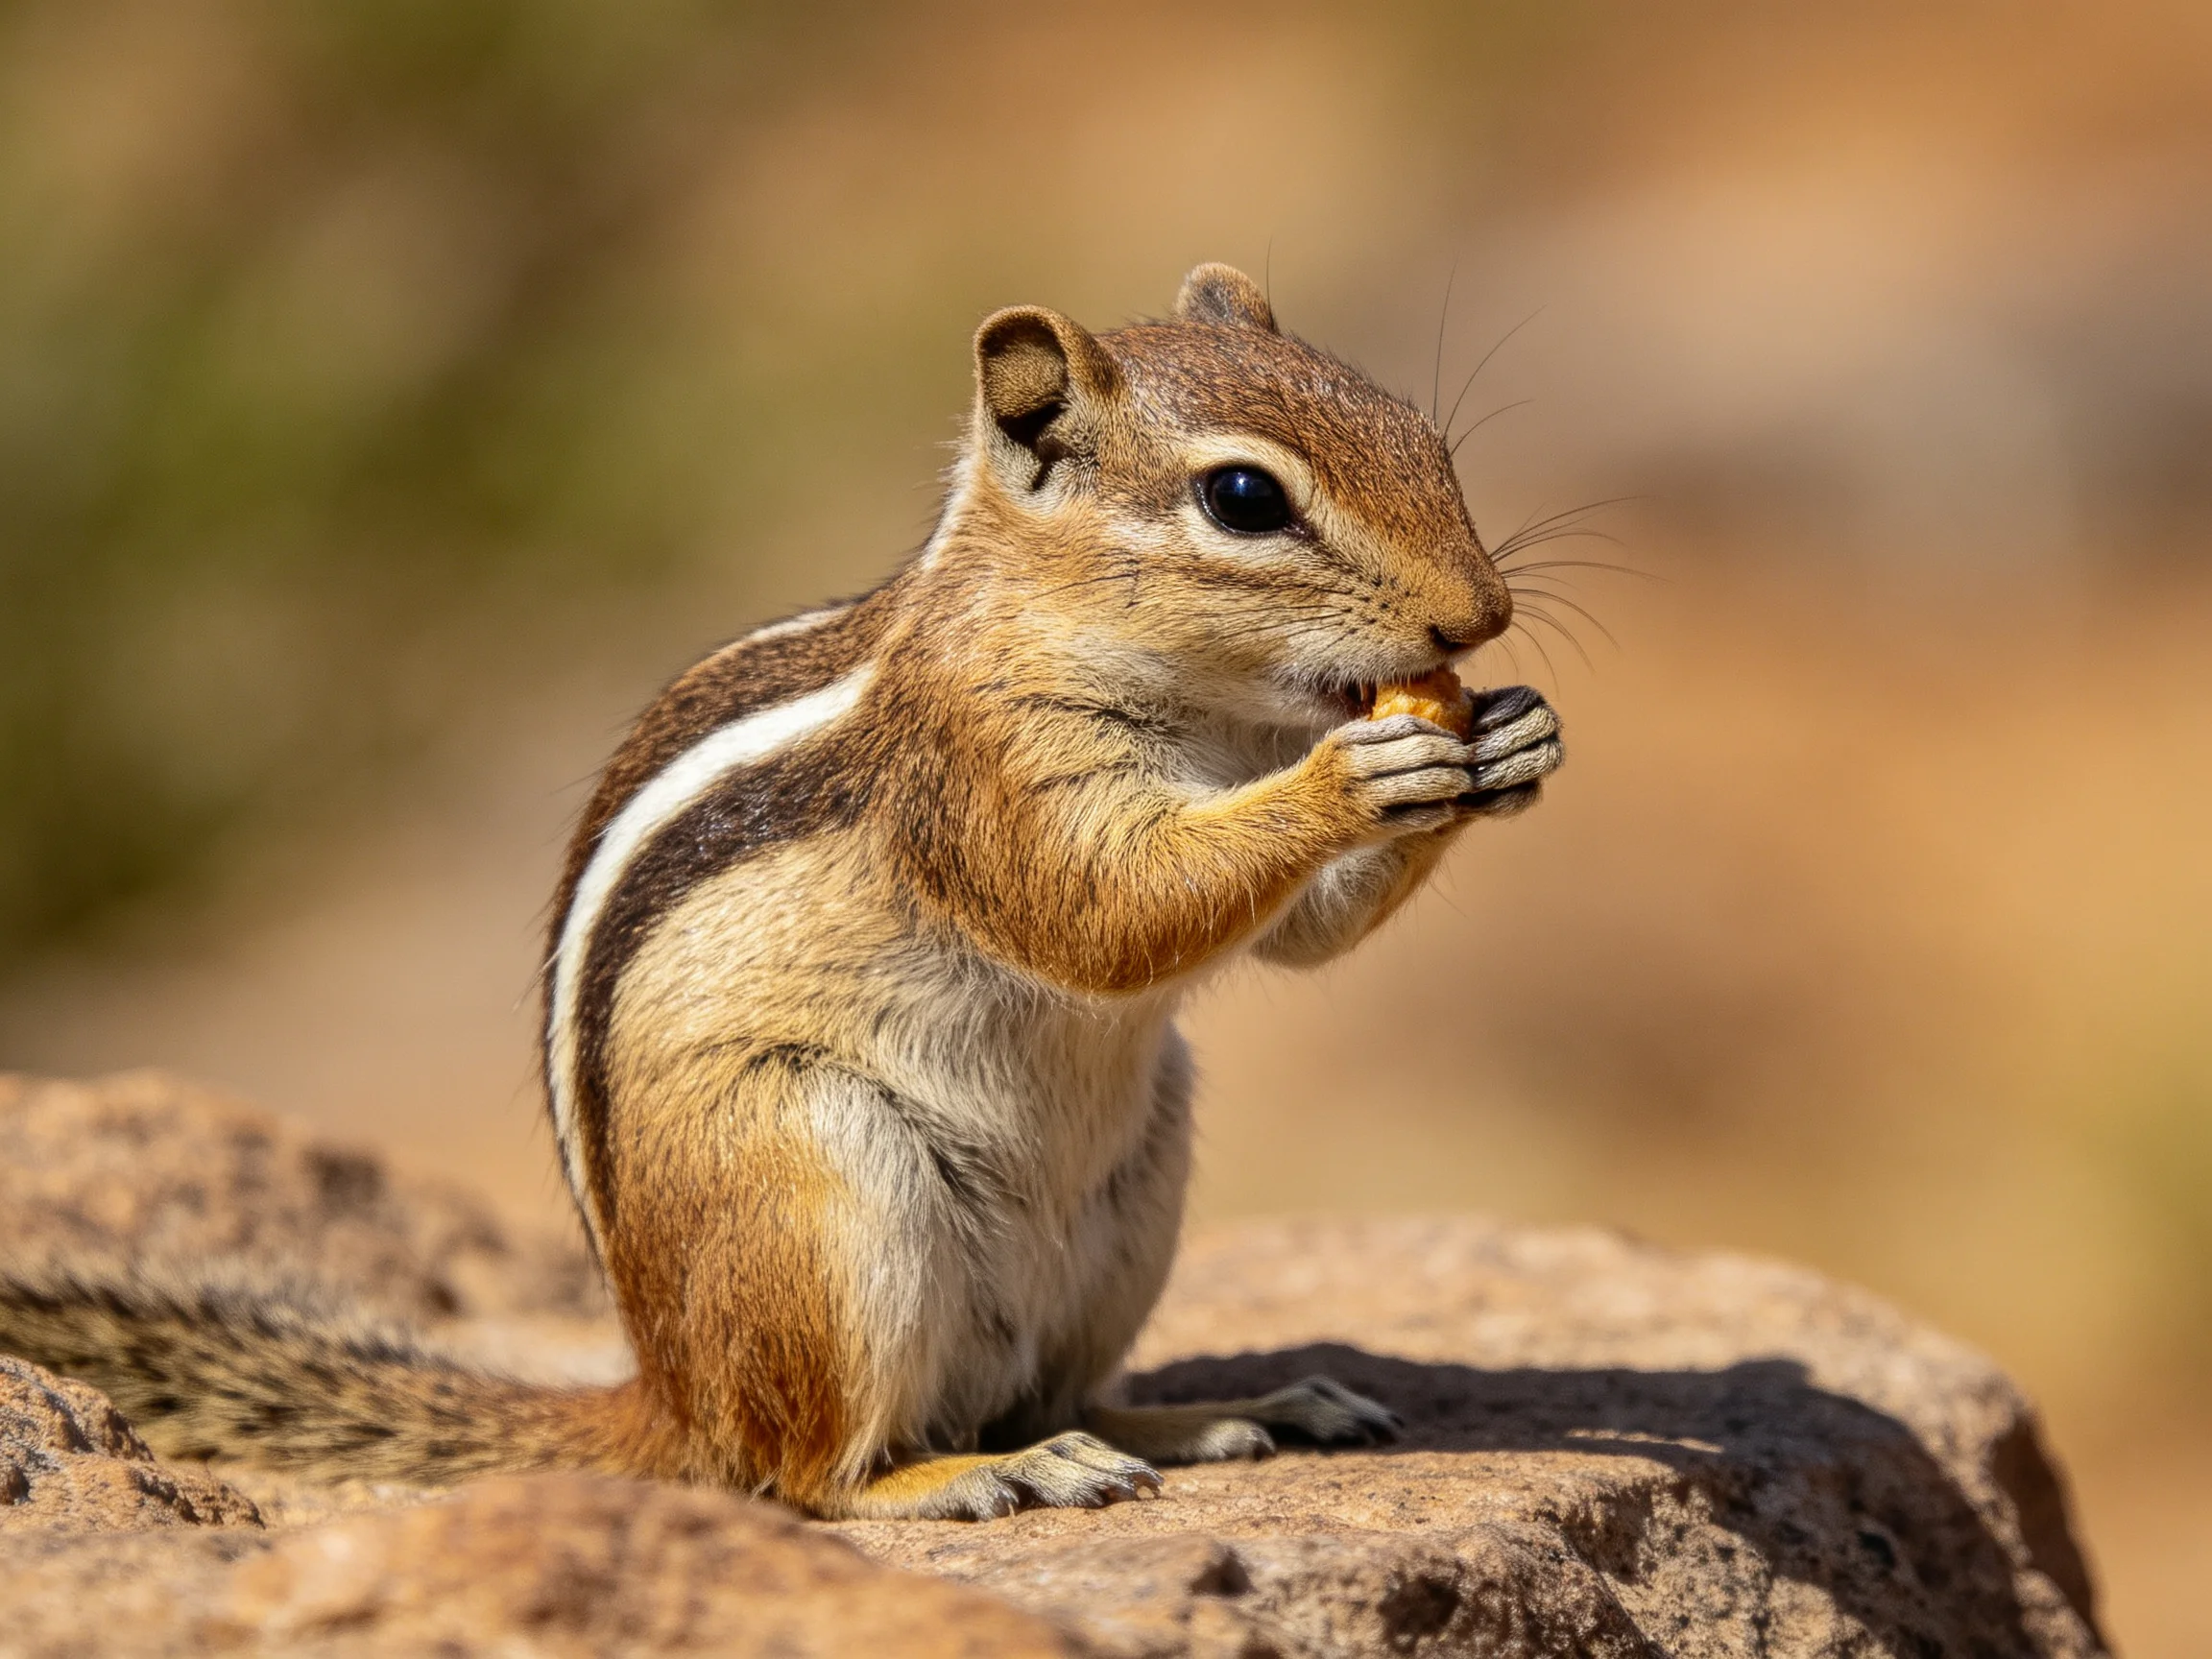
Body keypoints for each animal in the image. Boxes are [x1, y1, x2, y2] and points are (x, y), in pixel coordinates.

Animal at [0, 264, 1562, 1519]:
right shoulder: (977, 772)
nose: (1478, 617)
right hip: (817, 1192)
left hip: (1138, 1190)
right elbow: (1100, 912)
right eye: (1245, 499)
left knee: (1048, 1390)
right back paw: (980, 1475)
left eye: (1421, 436)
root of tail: (666, 1393)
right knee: (810, 1474)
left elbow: (1295, 939)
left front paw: (1510, 738)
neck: (1209, 711)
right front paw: (1355, 777)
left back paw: (1215, 1415)